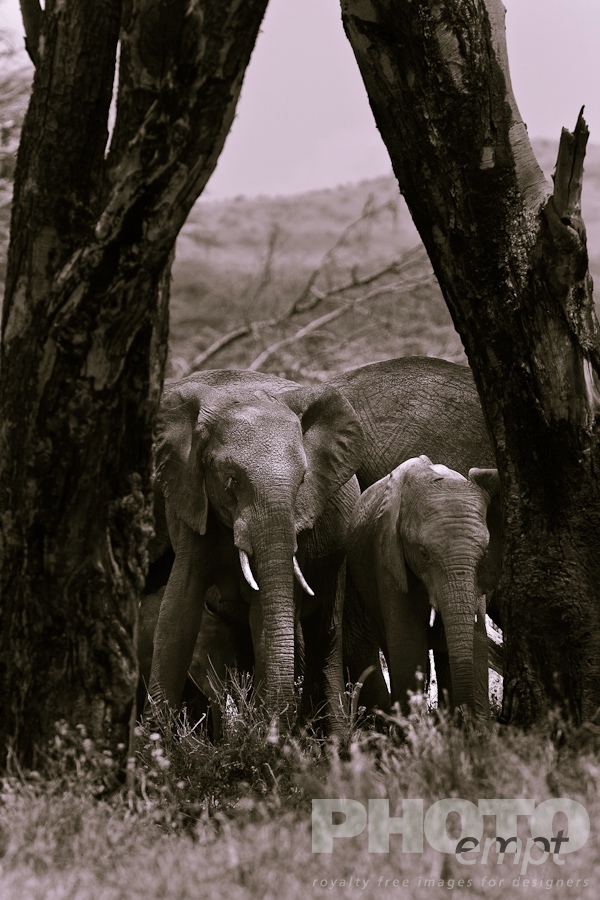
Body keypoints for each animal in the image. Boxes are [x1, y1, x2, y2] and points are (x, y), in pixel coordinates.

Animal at [145, 369, 364, 734]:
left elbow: (264, 612)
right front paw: (152, 744)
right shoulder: (188, 498)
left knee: (325, 636)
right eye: (231, 479)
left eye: (302, 481)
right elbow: (177, 613)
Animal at [343, 455, 501, 720]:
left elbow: (475, 641)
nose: (464, 714)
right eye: (424, 553)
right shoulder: (387, 557)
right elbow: (407, 643)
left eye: (483, 553)